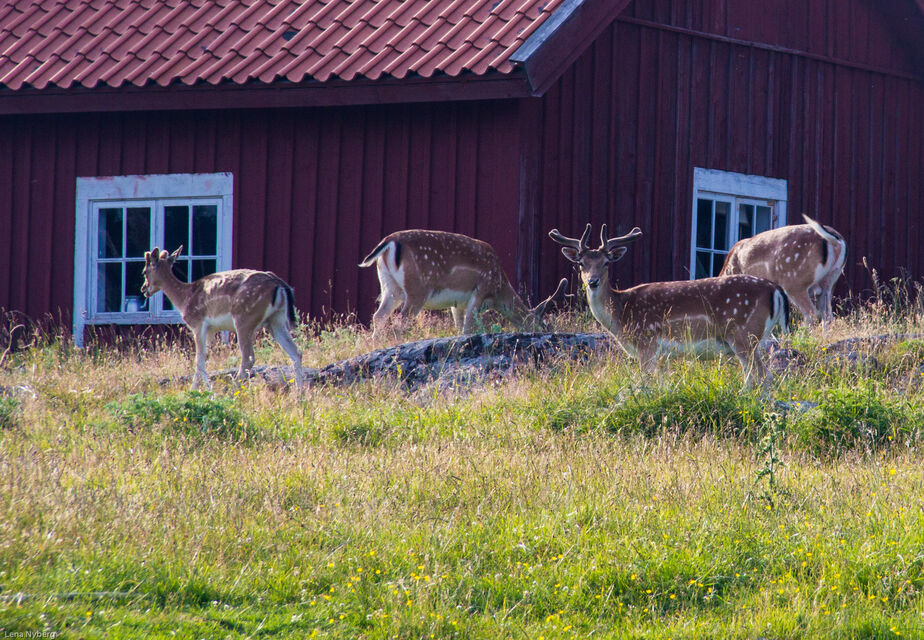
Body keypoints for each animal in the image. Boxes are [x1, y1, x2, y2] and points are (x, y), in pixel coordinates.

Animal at [141, 246, 304, 391]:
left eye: (144, 271)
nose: (144, 289)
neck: (184, 298)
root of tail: (279, 284)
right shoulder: (211, 329)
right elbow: (204, 358)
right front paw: (201, 390)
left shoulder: (197, 323)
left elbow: (198, 360)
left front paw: (199, 391)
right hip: (276, 320)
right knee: (296, 352)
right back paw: (300, 394)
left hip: (245, 318)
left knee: (248, 357)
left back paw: (234, 390)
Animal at [359, 229, 568, 339]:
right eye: (542, 324)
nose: (544, 333)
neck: (499, 288)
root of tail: (389, 242)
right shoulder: (481, 290)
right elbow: (468, 328)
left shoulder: (457, 304)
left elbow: (459, 327)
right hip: (417, 288)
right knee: (401, 320)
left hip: (389, 286)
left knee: (379, 315)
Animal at [549, 224, 790, 388]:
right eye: (581, 263)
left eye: (607, 263)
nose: (593, 281)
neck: (621, 314)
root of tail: (775, 289)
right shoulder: (663, 354)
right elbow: (663, 384)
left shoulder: (647, 343)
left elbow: (646, 383)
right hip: (757, 339)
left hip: (743, 334)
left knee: (760, 375)